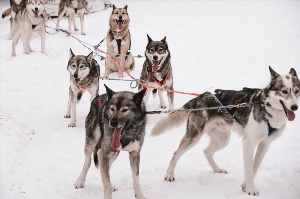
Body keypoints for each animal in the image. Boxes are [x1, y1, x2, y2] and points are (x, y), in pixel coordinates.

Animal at [154, 67, 298, 196]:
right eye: (284, 91)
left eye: (297, 91)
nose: (295, 107)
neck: (267, 107)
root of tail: (202, 96)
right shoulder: (249, 142)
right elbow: (249, 169)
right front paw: (251, 190)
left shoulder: (265, 144)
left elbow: (255, 167)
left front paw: (245, 186)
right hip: (194, 137)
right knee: (176, 153)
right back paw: (169, 175)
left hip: (222, 140)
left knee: (206, 151)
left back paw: (217, 169)